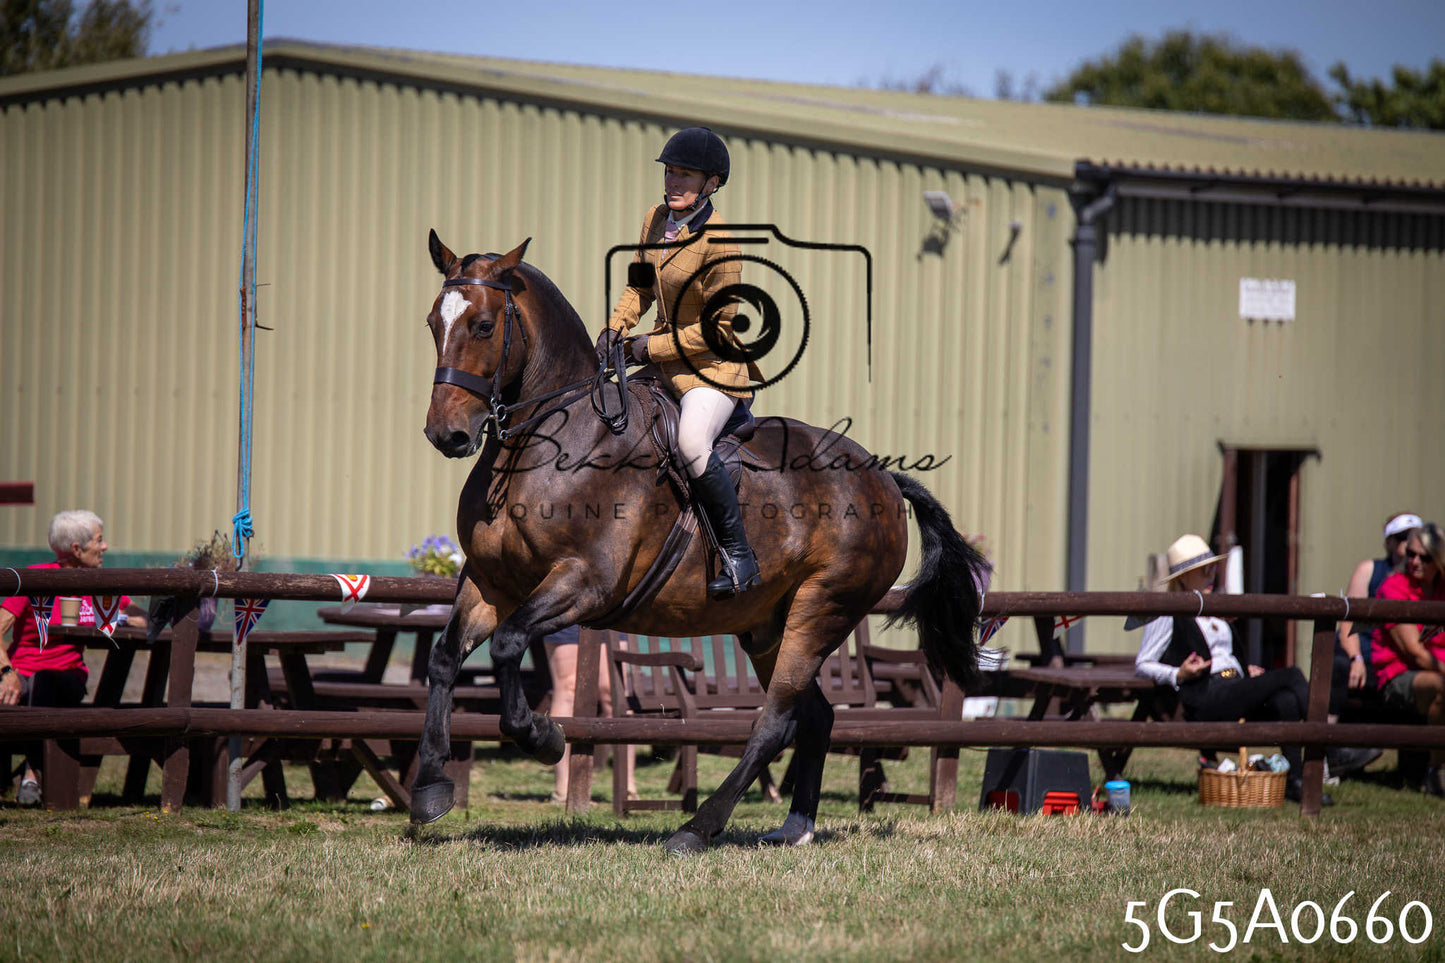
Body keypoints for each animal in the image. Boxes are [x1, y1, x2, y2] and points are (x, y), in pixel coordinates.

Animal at [413, 231, 988, 853]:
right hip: (767, 627)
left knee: (775, 720)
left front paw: (544, 737)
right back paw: (795, 828)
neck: (542, 445)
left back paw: (697, 828)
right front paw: (430, 788)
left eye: (483, 326)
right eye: (432, 323)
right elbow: (445, 657)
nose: (447, 435)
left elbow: (507, 644)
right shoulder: (489, 582)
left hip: (822, 609)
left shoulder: (585, 583)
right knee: (815, 716)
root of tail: (882, 476)